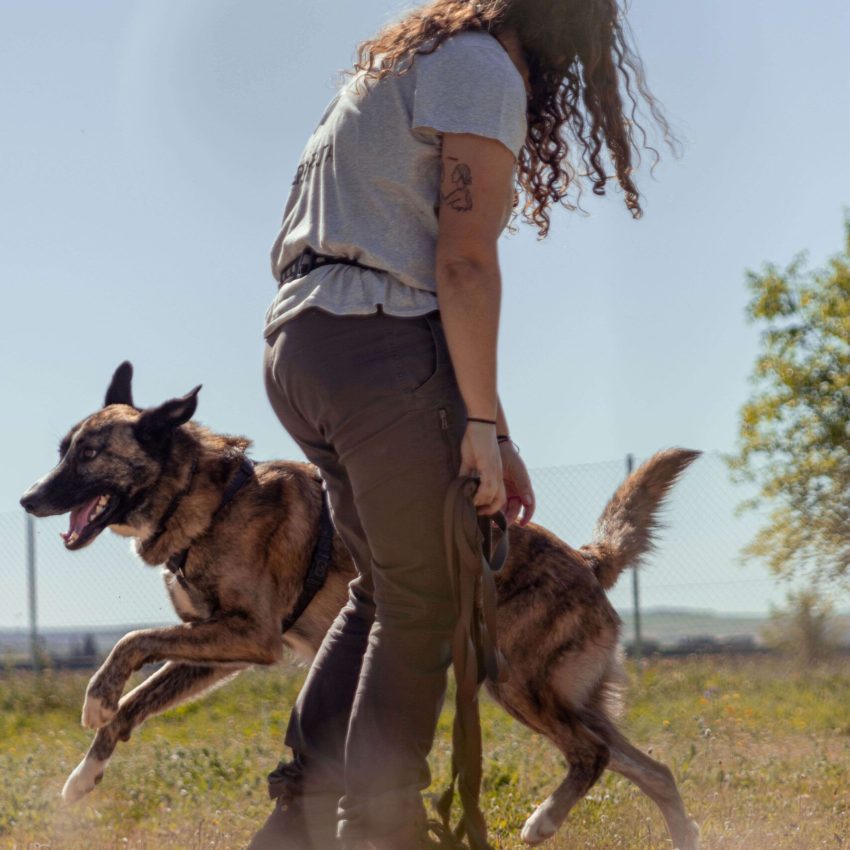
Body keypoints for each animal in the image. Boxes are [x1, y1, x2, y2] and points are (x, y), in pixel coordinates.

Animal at [19, 362, 700, 844]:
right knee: (648, 767)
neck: (203, 498)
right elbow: (136, 701)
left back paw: (544, 821)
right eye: (62, 449)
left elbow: (129, 643)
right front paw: (86, 773)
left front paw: (95, 698)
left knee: (593, 754)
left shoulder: (248, 635)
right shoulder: (223, 648)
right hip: (565, 696)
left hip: (517, 684)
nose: (27, 499)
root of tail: (587, 560)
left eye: (89, 454)